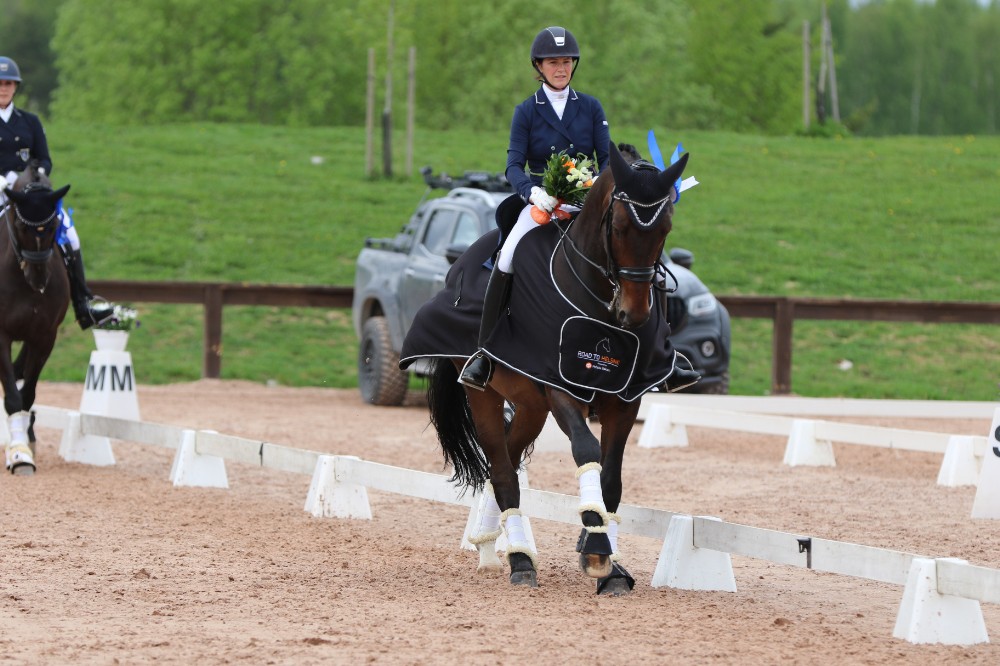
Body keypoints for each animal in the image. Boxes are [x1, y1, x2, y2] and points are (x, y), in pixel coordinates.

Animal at [422, 141, 688, 592]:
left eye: (665, 230)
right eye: (618, 227)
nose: (633, 314)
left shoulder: (625, 399)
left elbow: (611, 476)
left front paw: (607, 561)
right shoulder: (561, 387)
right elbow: (586, 449)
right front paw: (595, 548)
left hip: (530, 404)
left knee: (505, 461)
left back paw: (492, 543)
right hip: (486, 395)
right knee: (503, 470)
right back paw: (519, 562)